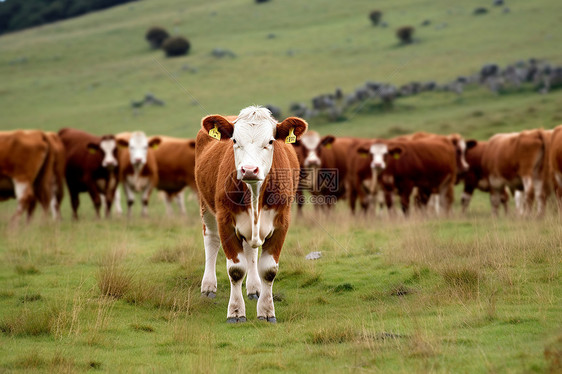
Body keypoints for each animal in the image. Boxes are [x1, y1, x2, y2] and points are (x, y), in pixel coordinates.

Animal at [194, 104, 306, 322]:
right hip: (206, 205)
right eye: (235, 140)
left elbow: (268, 270)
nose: (249, 170)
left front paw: (267, 311)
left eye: (270, 141)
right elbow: (236, 270)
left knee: (251, 251)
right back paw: (208, 286)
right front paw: (236, 312)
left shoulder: (282, 223)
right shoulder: (225, 221)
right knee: (211, 240)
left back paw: (254, 289)